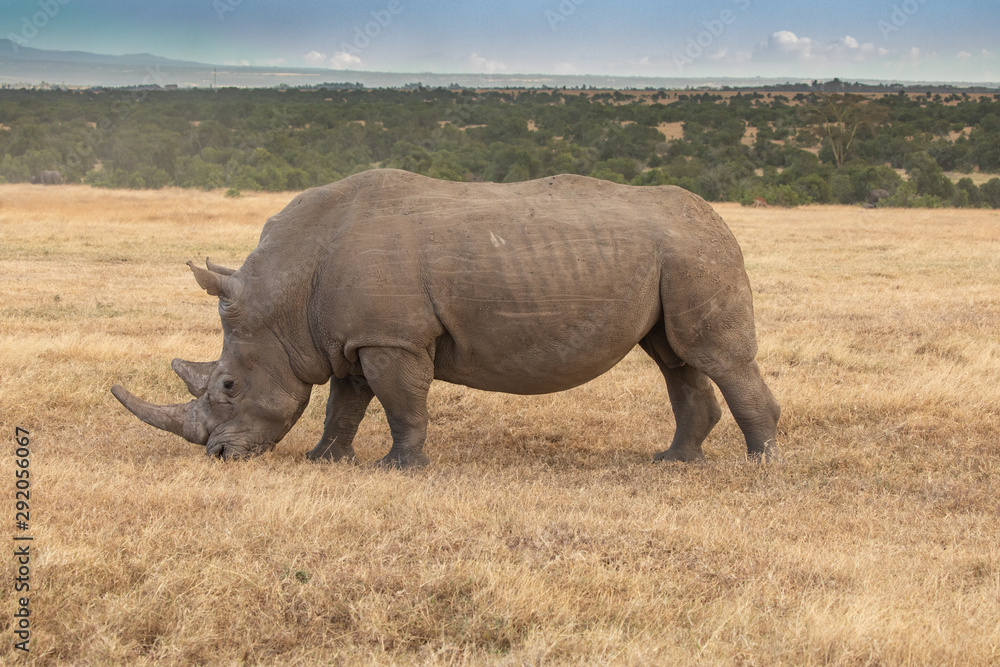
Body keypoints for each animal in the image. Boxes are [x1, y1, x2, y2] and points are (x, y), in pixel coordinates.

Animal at [112, 169, 780, 467]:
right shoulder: (353, 337)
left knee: (715, 357)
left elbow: (400, 401)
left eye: (228, 385)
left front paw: (399, 467)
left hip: (696, 254)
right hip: (675, 257)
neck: (287, 294)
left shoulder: (394, 338)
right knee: (675, 358)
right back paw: (674, 461)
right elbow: (344, 403)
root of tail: (718, 218)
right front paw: (324, 460)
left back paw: (761, 465)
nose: (219, 455)